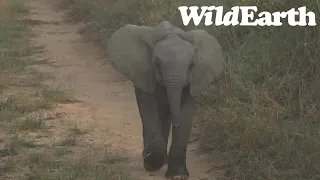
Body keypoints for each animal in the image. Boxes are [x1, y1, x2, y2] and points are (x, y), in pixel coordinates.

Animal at [106, 20, 224, 179]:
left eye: (191, 65)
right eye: (157, 63)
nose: (177, 126)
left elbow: (186, 112)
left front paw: (178, 176)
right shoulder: (146, 74)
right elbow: (149, 109)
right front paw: (152, 164)